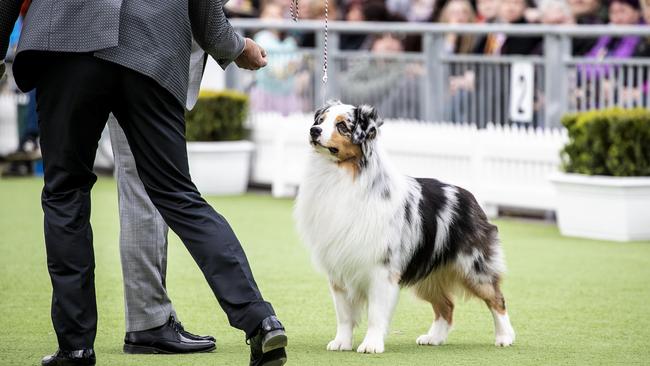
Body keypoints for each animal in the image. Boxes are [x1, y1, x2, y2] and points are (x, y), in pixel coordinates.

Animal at [292, 101, 512, 354]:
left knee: (496, 299)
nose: (314, 131)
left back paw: (505, 337)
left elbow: (376, 313)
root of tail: (470, 197)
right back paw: (433, 338)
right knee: (446, 306)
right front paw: (341, 342)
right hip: (428, 273)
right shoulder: (339, 268)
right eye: (320, 120)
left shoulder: (381, 268)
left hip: (474, 266)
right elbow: (344, 314)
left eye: (342, 126)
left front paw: (371, 345)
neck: (342, 175)